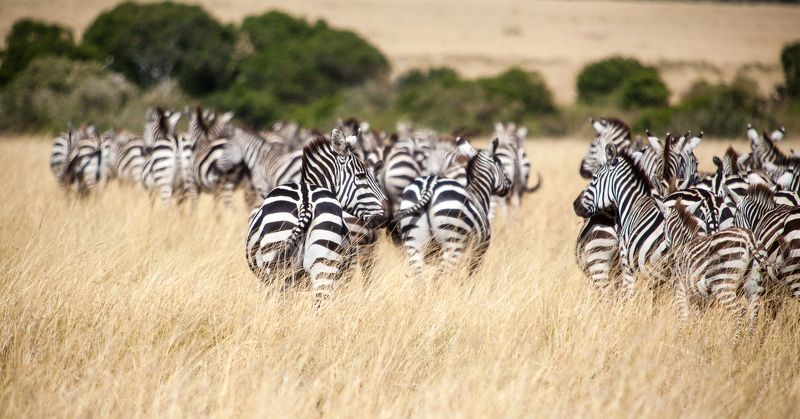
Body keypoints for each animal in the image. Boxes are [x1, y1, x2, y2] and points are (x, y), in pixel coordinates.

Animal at [396, 137, 512, 277]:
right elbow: (469, 277)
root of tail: (429, 185)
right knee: (440, 278)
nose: (510, 183)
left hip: (413, 244)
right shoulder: (478, 252)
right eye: (500, 164)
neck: (478, 195)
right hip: (453, 243)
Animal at [655, 199, 764, 341]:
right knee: (754, 316)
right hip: (753, 284)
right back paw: (748, 344)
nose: (664, 250)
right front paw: (696, 340)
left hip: (723, 283)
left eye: (663, 228)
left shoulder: (680, 289)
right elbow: (698, 321)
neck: (683, 242)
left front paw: (682, 339)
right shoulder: (699, 299)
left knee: (739, 312)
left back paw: (732, 344)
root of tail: (748, 238)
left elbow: (683, 318)